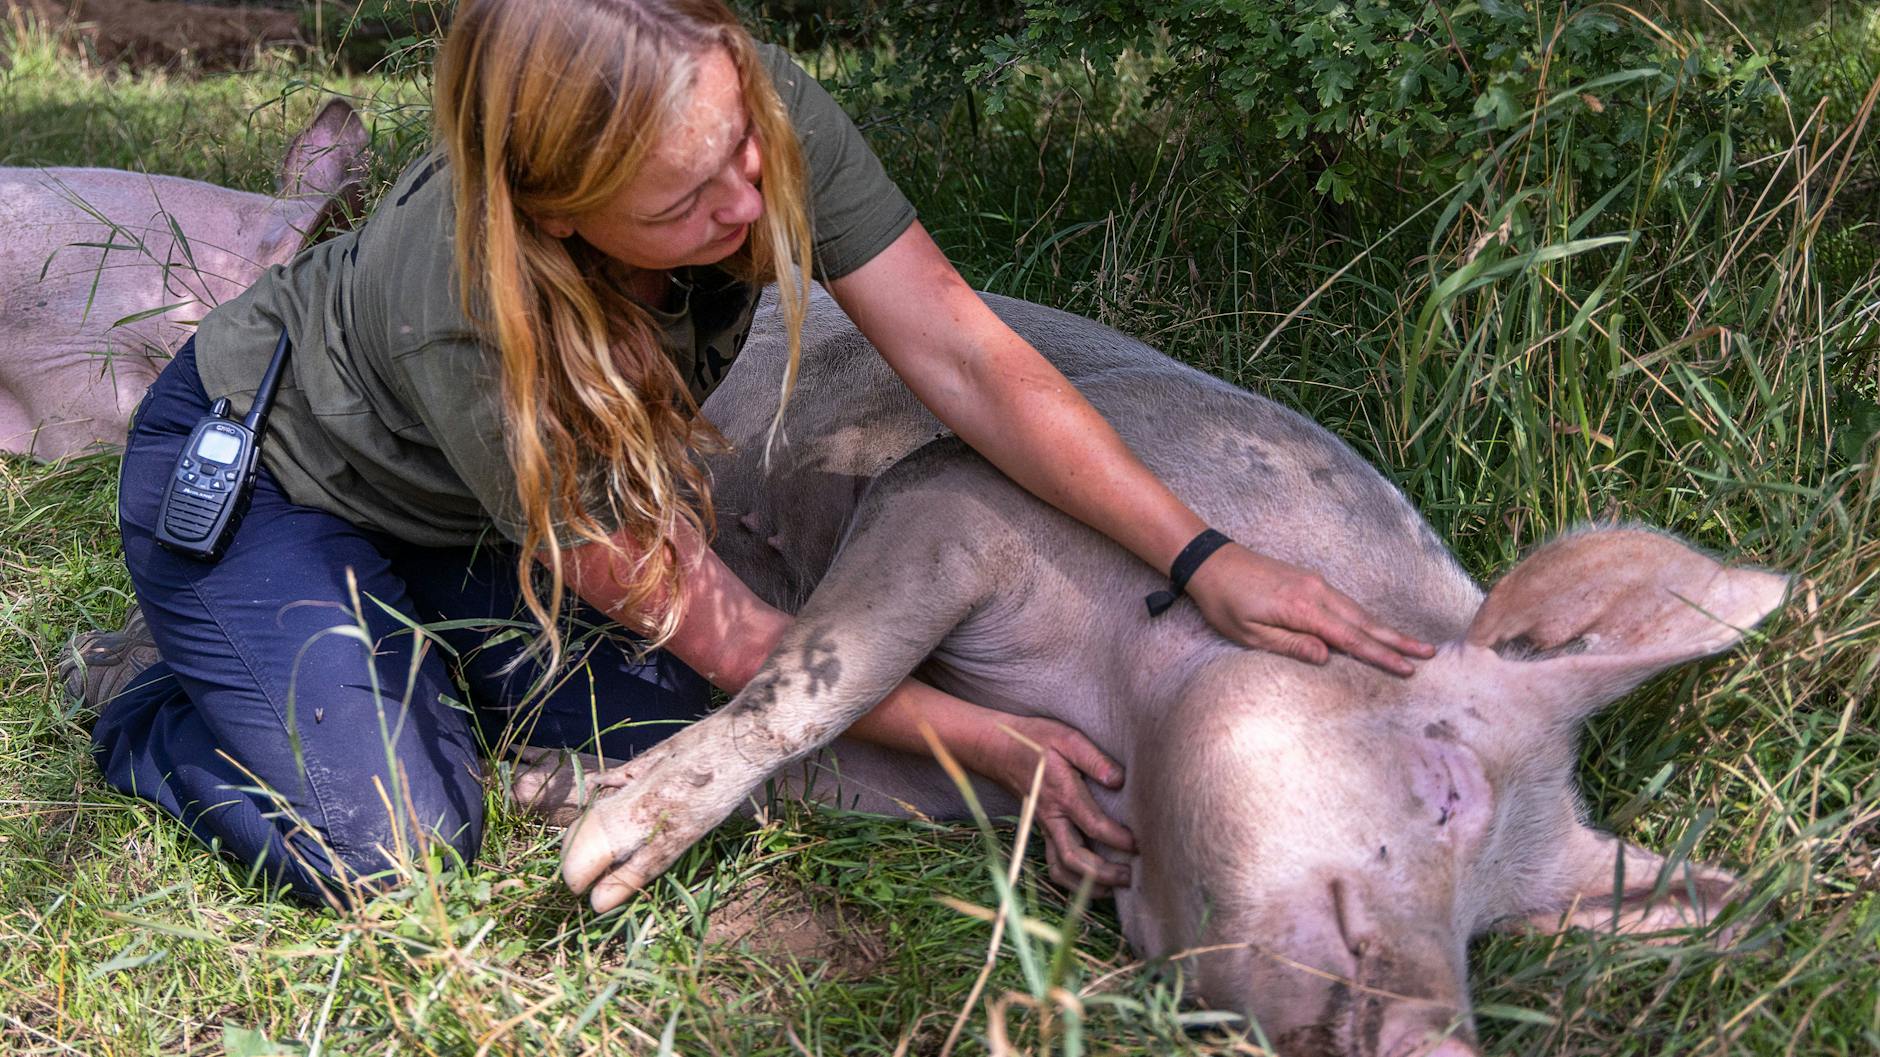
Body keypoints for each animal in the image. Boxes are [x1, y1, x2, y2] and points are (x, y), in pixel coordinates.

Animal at [529, 287, 1785, 1056]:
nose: (1441, 1035)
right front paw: (594, 863)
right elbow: (823, 681)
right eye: (1446, 791)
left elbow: (823, 771)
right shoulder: (955, 504)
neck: (1123, 727)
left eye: (1495, 925)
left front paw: (559, 808)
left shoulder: (973, 779)